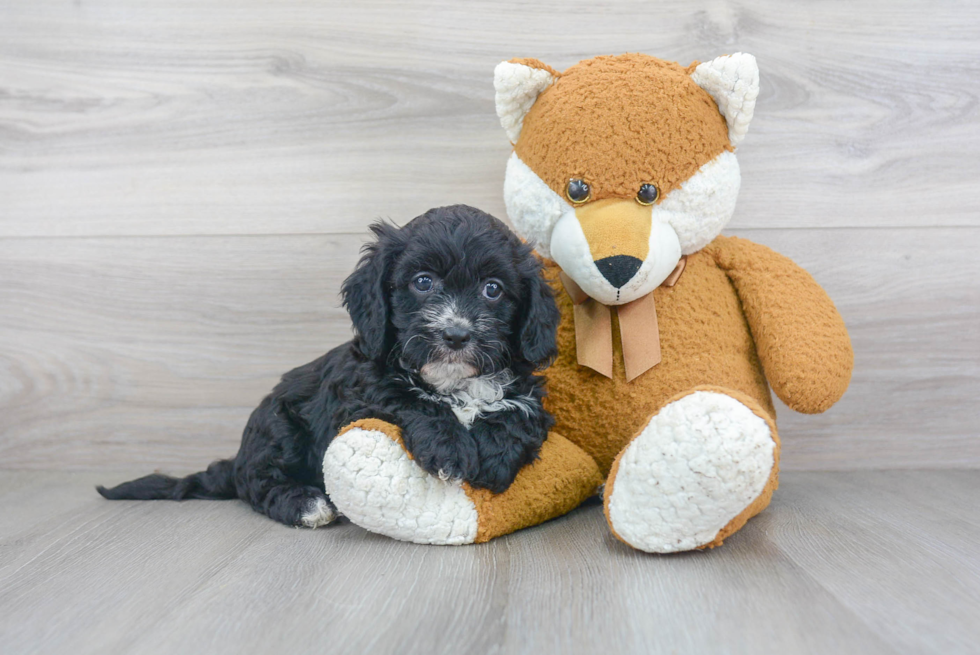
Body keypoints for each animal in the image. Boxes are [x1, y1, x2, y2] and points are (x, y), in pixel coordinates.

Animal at [100, 208, 564, 532]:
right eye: (422, 281)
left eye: (493, 290)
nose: (455, 334)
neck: (451, 383)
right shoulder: (361, 391)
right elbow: (409, 399)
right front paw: (450, 447)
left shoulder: (527, 393)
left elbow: (518, 413)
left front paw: (494, 455)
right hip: (278, 427)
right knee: (258, 483)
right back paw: (306, 504)